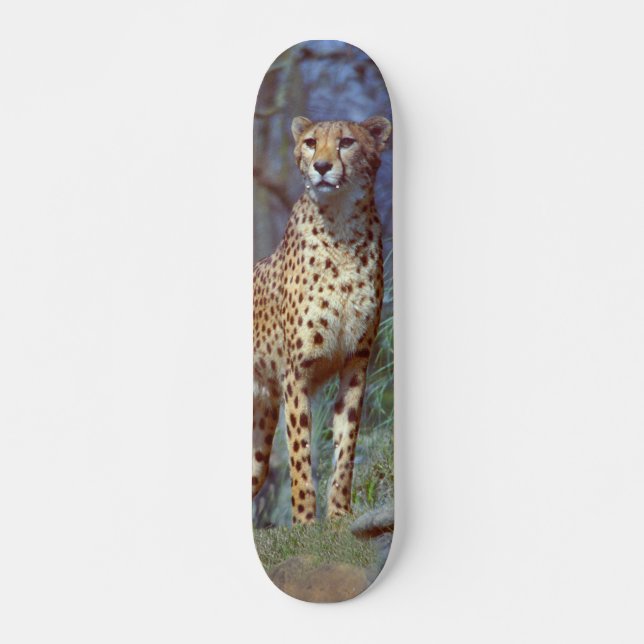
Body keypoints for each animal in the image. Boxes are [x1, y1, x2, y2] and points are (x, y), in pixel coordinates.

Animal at [252, 115, 392, 524]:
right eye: (311, 143)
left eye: (347, 142)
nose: (323, 166)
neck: (341, 226)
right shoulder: (296, 372)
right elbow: (300, 452)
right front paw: (303, 521)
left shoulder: (356, 362)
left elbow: (347, 445)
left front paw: (339, 513)